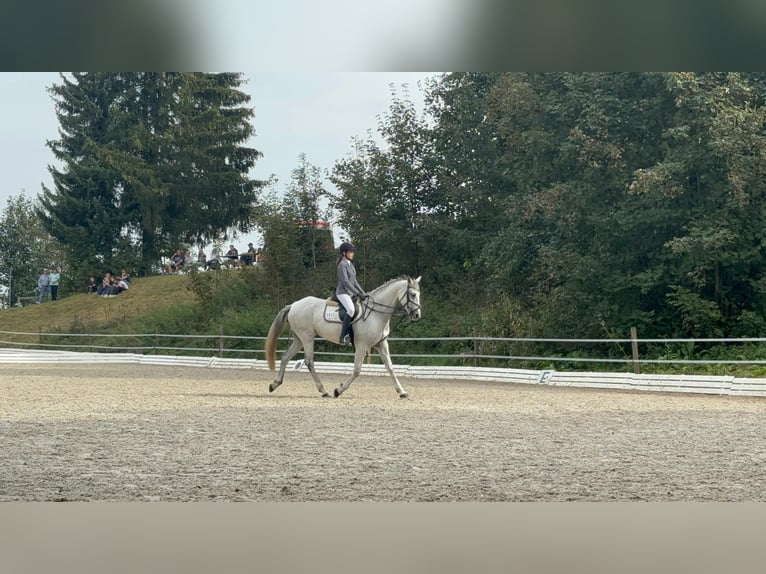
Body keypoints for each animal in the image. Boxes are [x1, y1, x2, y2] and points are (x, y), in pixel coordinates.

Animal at [265, 275, 422, 398]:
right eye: (412, 294)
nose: (417, 315)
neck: (376, 314)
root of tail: (293, 305)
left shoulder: (381, 344)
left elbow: (390, 368)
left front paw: (402, 391)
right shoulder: (361, 345)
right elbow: (357, 370)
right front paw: (338, 390)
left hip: (298, 339)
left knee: (285, 357)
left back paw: (274, 384)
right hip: (307, 337)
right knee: (309, 362)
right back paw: (324, 391)